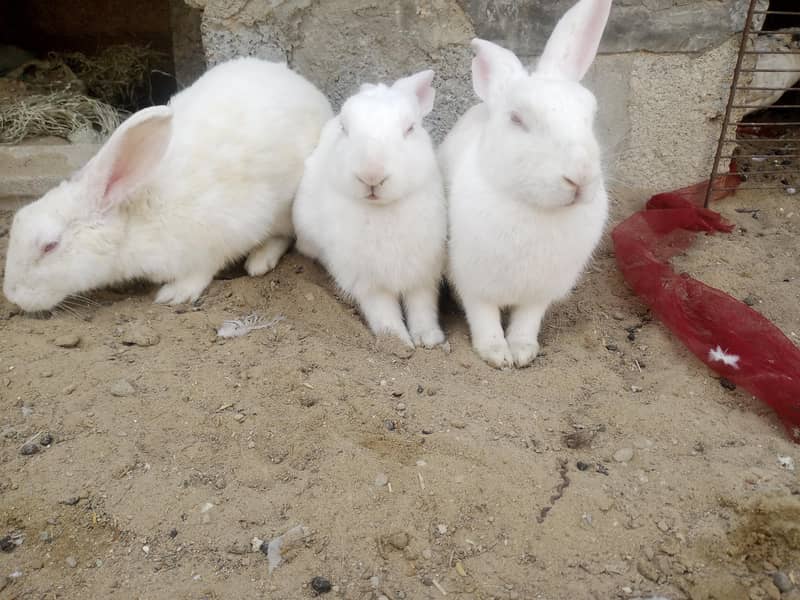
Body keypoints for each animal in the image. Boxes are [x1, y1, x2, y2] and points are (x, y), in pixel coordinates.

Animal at [2, 57, 333, 312]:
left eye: (49, 246)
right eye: (18, 220)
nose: (12, 296)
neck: (132, 218)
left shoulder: (223, 232)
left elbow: (203, 268)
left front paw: (175, 294)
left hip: (285, 209)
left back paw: (259, 261)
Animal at [292, 70, 447, 349]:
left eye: (410, 128)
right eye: (345, 128)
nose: (372, 174)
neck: (382, 210)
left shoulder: (422, 273)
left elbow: (422, 306)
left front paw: (428, 338)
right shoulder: (367, 281)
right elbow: (383, 311)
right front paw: (397, 342)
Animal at [439, 0, 613, 369]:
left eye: (590, 116)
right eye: (518, 119)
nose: (580, 176)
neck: (534, 208)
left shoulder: (539, 292)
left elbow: (527, 320)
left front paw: (522, 351)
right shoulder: (473, 283)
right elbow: (484, 318)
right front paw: (496, 355)